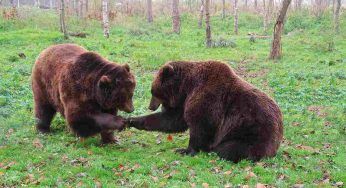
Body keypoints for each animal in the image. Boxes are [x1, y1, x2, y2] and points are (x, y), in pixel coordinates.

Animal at [128, 61, 282, 162]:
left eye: (153, 92)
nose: (150, 106)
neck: (186, 87)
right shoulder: (184, 103)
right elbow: (172, 120)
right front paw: (132, 120)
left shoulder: (208, 99)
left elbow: (201, 126)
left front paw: (185, 150)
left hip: (252, 132)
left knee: (230, 148)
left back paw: (215, 150)